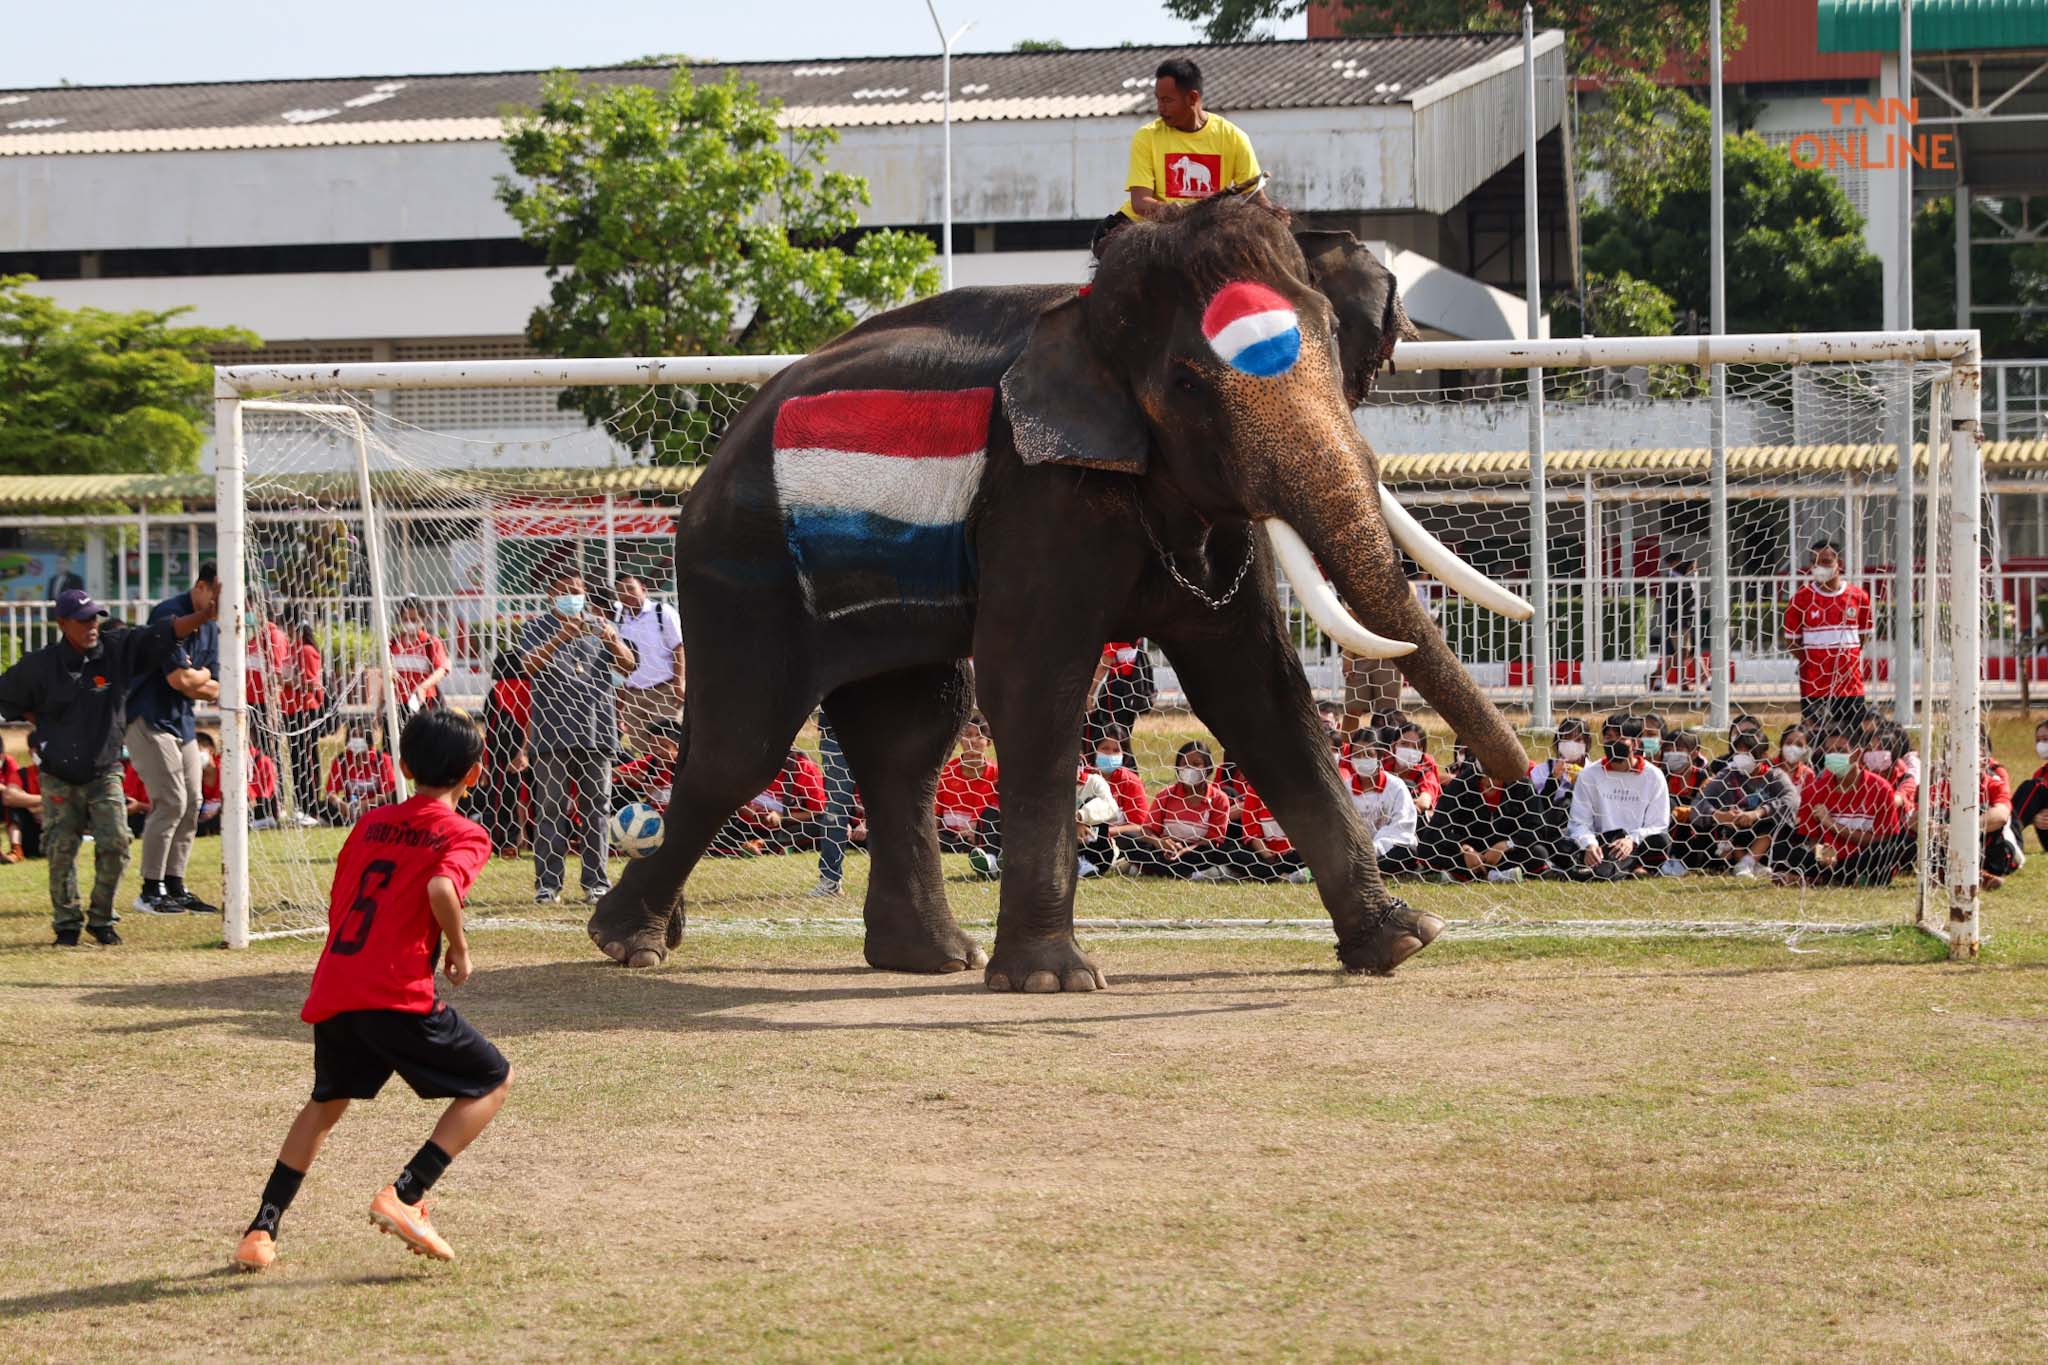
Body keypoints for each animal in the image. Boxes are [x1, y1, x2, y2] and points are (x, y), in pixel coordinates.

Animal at [585, 194, 1531, 994]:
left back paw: (931, 958)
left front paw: (1403, 939)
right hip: (742, 564)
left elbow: (1259, 692)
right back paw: (629, 941)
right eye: (1187, 384)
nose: (1519, 770)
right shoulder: (1039, 492)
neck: (1090, 306)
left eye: (1336, 347)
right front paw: (1053, 979)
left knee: (909, 738)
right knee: (742, 747)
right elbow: (1034, 686)